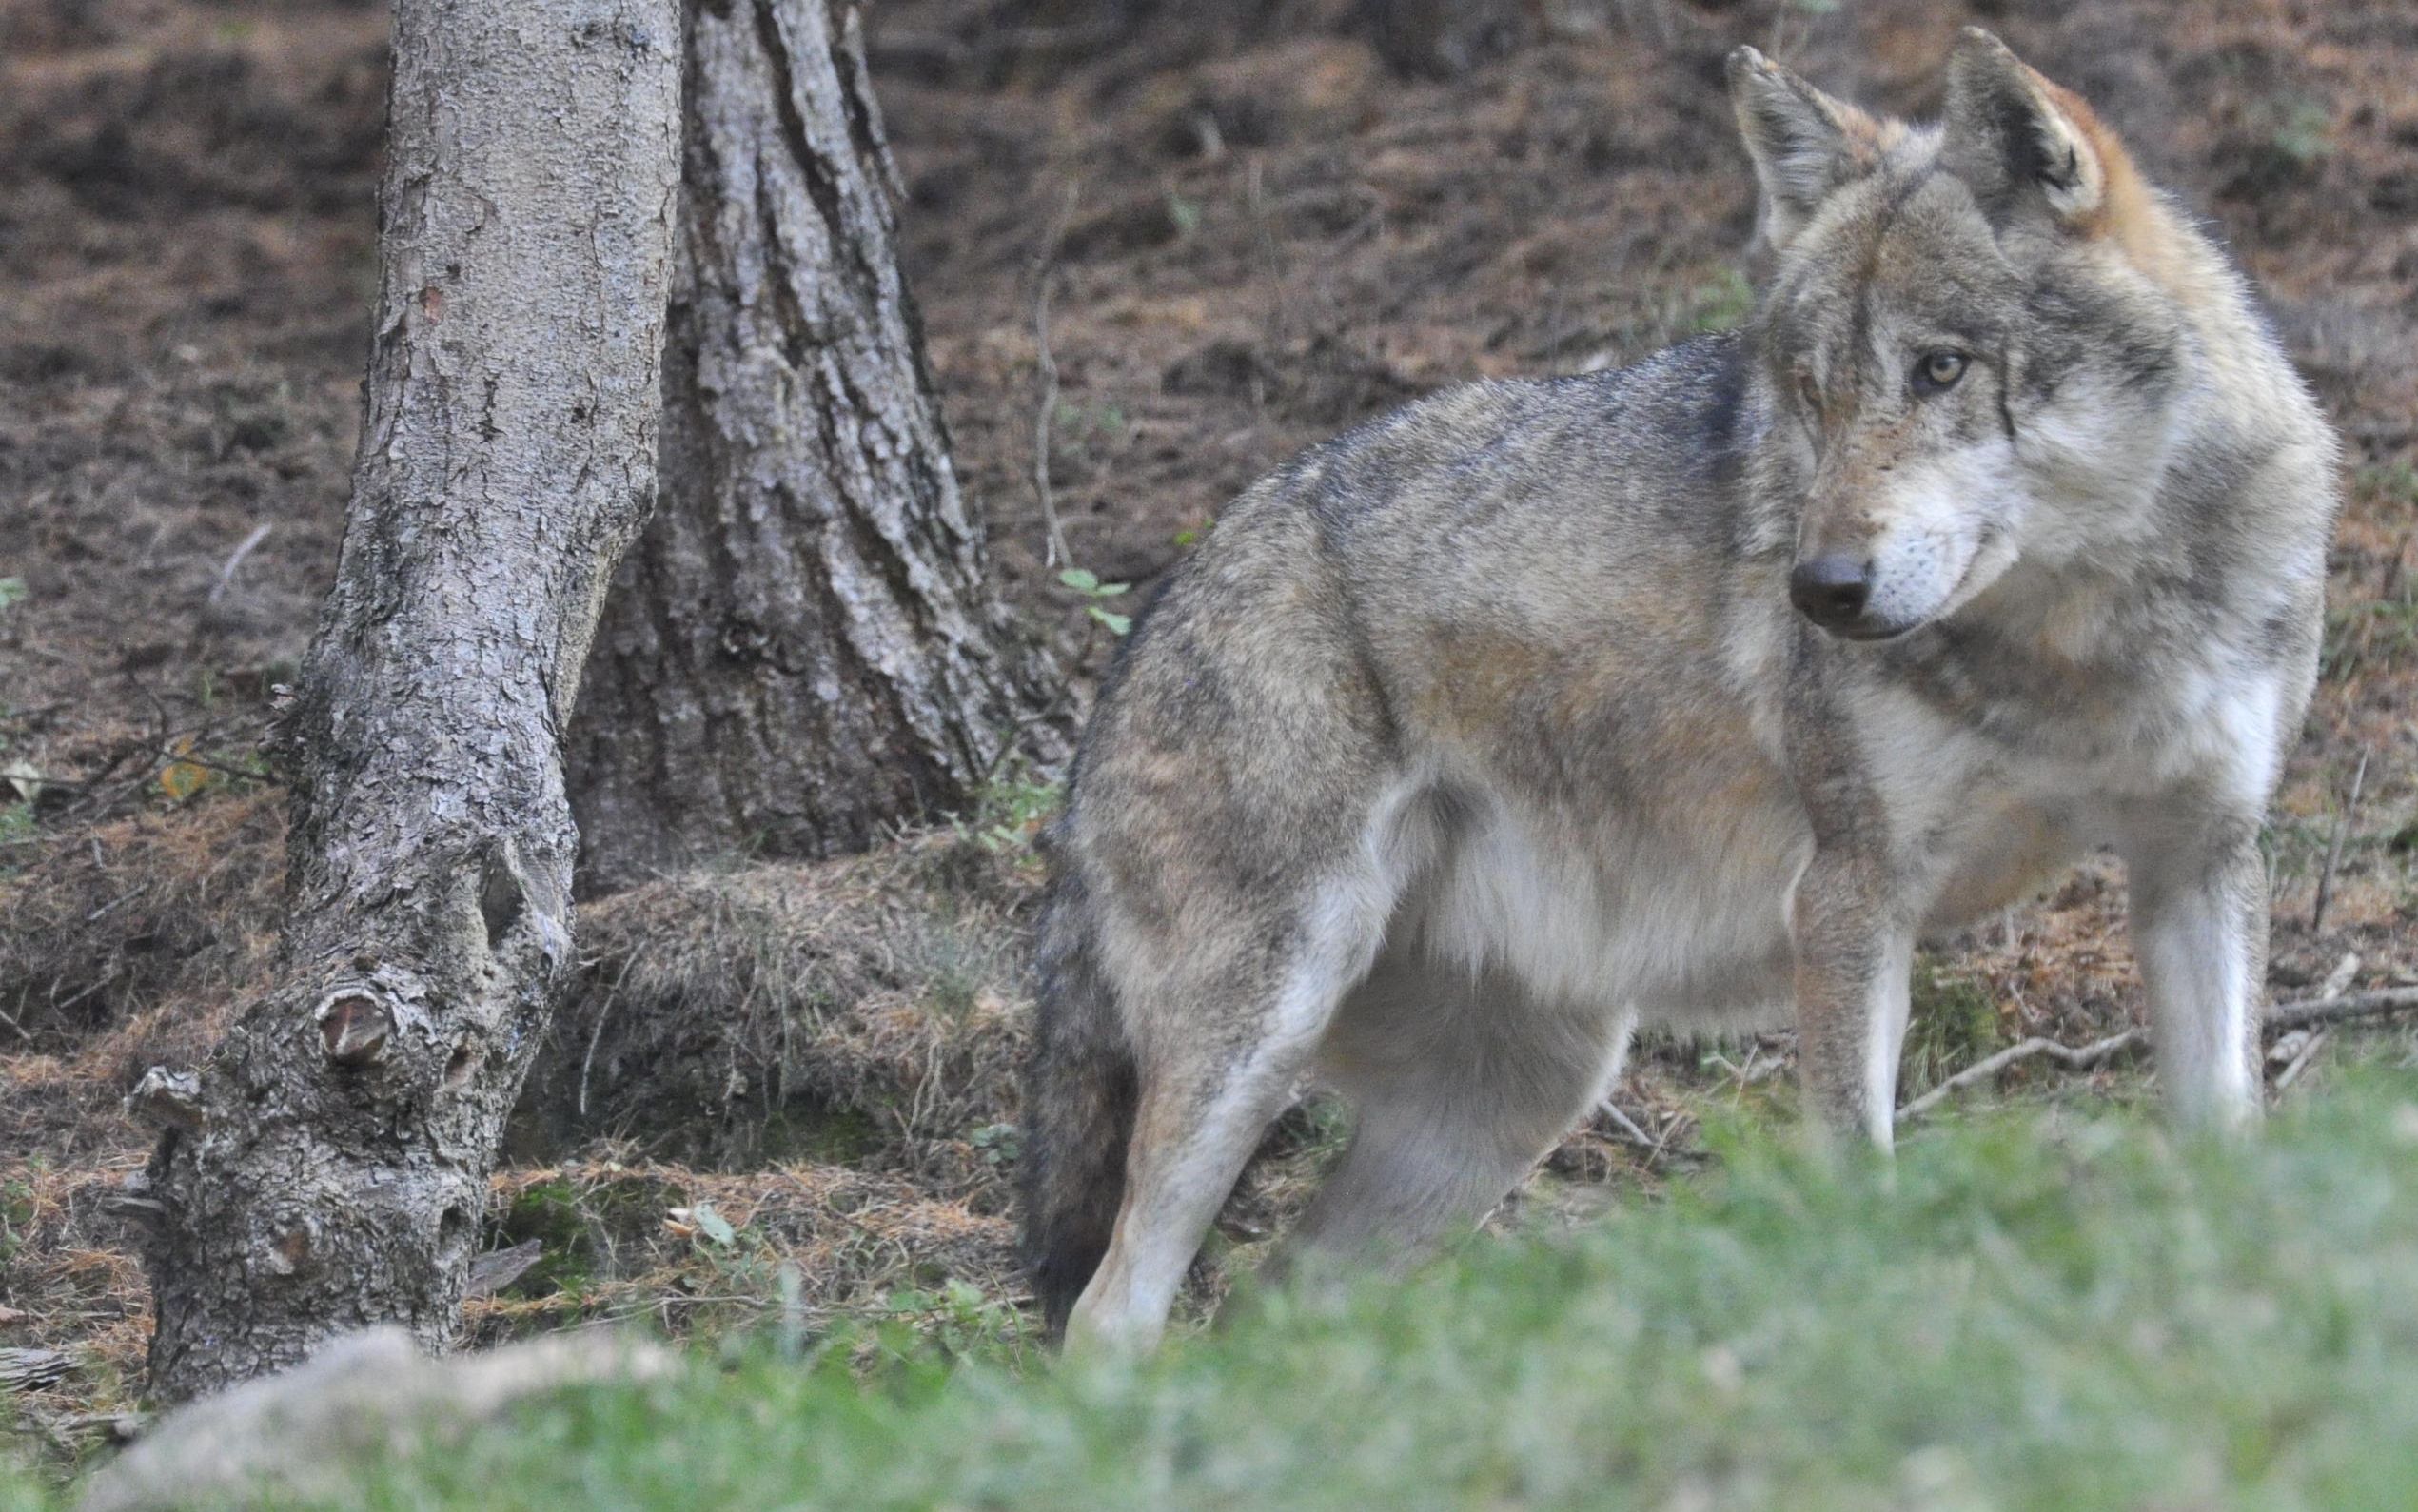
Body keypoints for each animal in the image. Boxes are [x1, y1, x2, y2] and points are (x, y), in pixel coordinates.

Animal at [1020, 23, 2340, 1354]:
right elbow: (1861, 1170)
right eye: (1812, 393)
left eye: (1941, 369)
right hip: (1267, 1040)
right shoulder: (1852, 895)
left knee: (1271, 1311)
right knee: (1109, 1313)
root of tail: (1146, 624)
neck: (2078, 644)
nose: (1821, 589)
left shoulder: (2199, 857)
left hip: (1514, 1098)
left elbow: (2232, 1136)